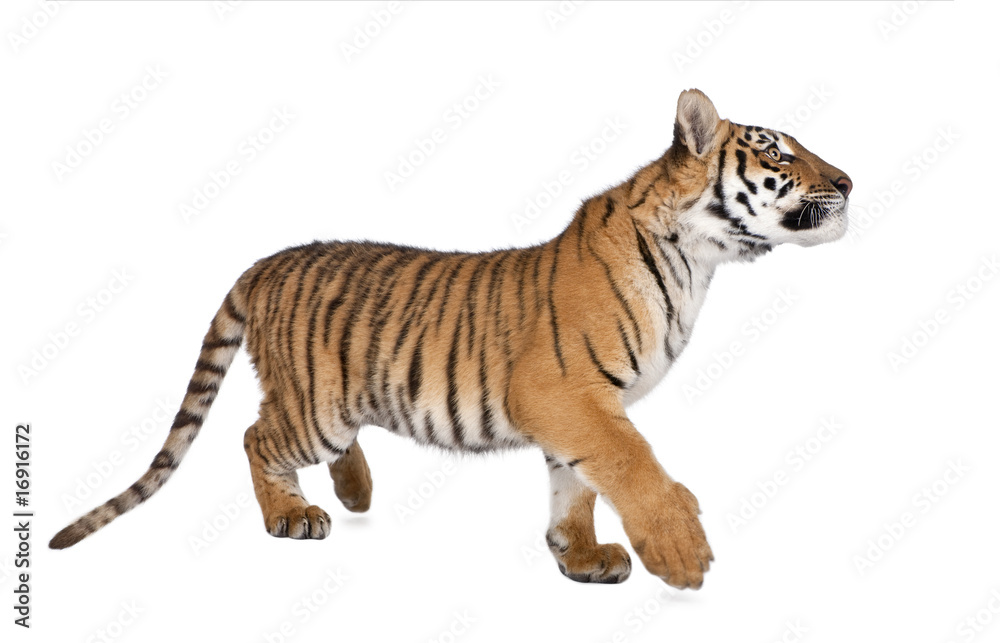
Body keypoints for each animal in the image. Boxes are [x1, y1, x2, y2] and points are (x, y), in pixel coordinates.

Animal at [50, 89, 851, 590]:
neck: (698, 261)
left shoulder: (575, 407)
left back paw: (356, 489)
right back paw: (291, 514)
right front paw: (682, 552)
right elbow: (632, 463)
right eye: (778, 153)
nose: (847, 181)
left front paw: (581, 556)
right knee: (256, 436)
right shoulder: (567, 392)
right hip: (316, 406)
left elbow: (576, 484)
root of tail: (265, 262)